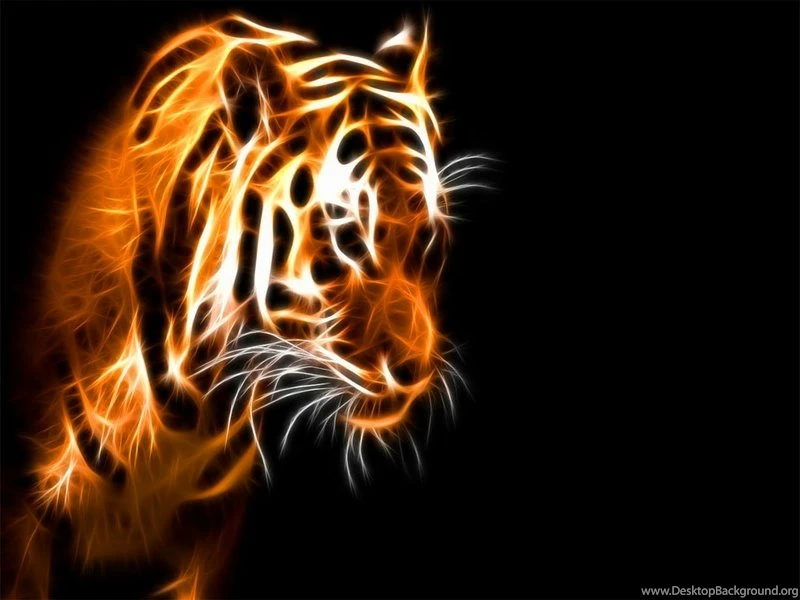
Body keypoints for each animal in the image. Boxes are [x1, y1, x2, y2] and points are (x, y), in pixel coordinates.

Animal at [5, 14, 481, 599]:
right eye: (347, 240)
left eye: (428, 240)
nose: (415, 372)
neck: (192, 404)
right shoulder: (21, 515)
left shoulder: (209, 534)